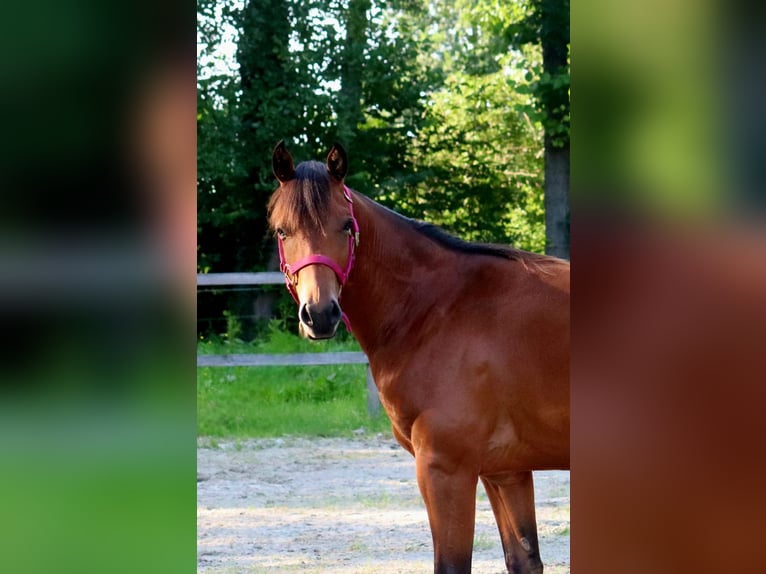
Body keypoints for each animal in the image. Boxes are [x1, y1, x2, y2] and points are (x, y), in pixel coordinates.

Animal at [268, 141, 568, 574]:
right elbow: (524, 559)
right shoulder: (505, 471)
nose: (320, 313)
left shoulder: (445, 469)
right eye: (282, 230)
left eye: (346, 225)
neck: (438, 308)